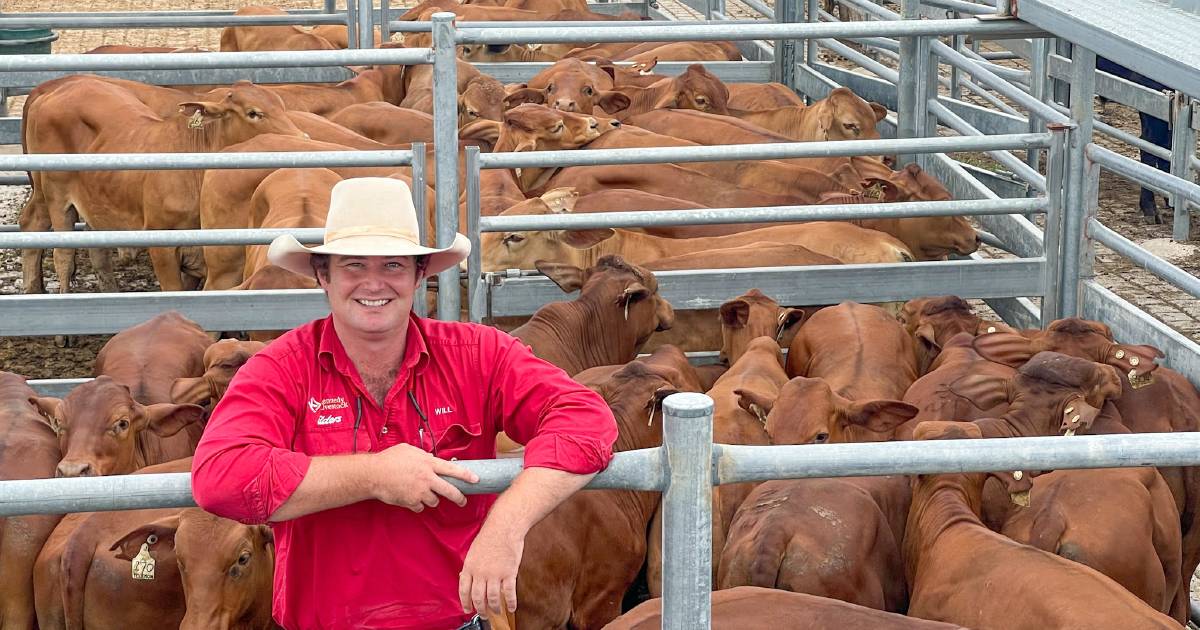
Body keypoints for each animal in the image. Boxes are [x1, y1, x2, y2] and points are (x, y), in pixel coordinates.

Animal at [21, 78, 304, 292]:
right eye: (253, 113)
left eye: (281, 106)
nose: (302, 137)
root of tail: (51, 91)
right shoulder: (162, 246)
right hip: (55, 194)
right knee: (60, 253)